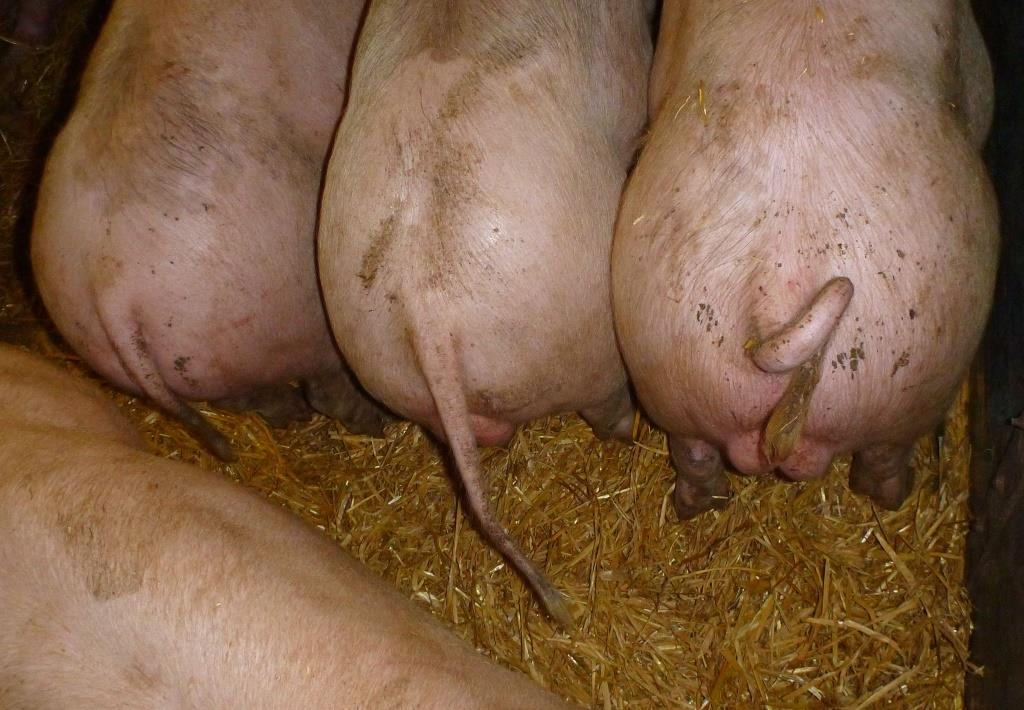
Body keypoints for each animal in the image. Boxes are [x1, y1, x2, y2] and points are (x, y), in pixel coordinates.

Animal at [31, 0, 386, 461]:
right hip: (302, 308)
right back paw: (373, 423)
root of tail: (107, 287)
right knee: (327, 385)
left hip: (194, 356)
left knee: (241, 394)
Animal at [612, 0, 999, 519]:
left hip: (667, 363)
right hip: (920, 381)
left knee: (693, 453)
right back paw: (892, 496)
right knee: (885, 457)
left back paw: (698, 507)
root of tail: (778, 294)